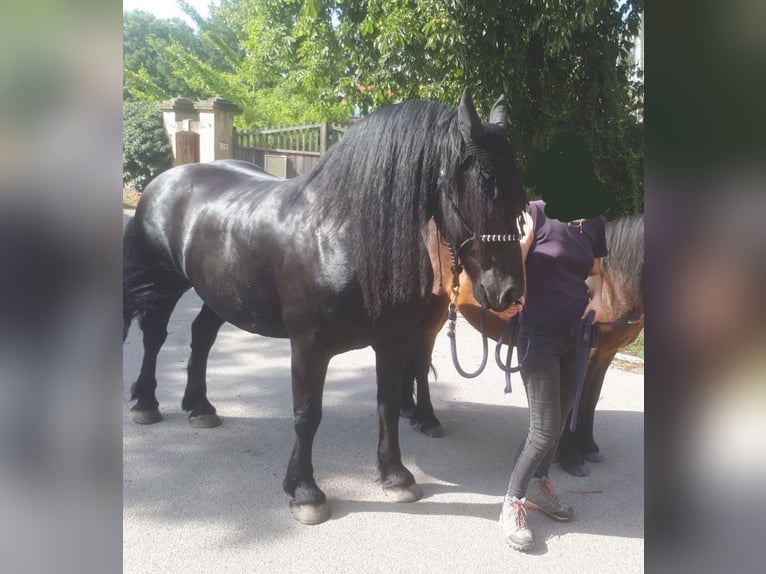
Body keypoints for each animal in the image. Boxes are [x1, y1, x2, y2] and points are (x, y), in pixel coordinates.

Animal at [122, 88, 527, 525]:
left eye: (519, 195)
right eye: (483, 186)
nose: (507, 292)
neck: (343, 237)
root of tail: (166, 179)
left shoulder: (392, 342)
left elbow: (387, 404)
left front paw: (396, 476)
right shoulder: (309, 348)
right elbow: (307, 415)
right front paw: (305, 491)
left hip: (220, 292)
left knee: (201, 336)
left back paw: (199, 407)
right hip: (163, 283)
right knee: (154, 336)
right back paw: (146, 403)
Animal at [402, 213, 644, 477]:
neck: (610, 283)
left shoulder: (604, 355)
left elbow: (591, 398)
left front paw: (589, 447)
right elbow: (574, 403)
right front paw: (571, 457)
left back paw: (410, 410)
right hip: (434, 308)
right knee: (421, 359)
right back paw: (428, 420)